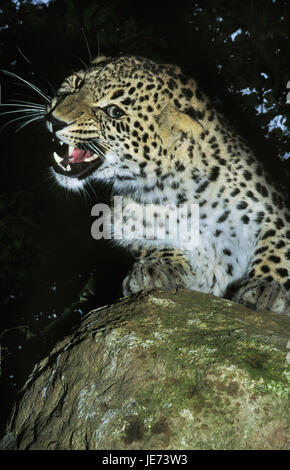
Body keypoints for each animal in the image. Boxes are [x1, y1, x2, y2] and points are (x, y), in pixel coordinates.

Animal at [44, 54, 288, 316]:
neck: (169, 190)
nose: (53, 120)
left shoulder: (273, 209)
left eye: (114, 112)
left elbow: (278, 243)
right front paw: (158, 266)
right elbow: (151, 241)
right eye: (77, 83)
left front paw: (267, 286)